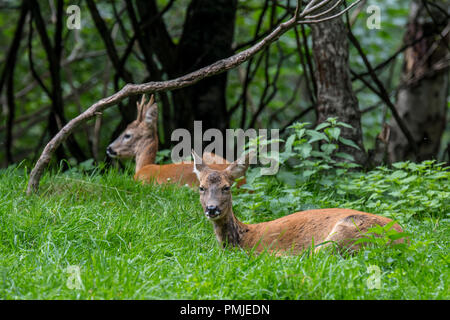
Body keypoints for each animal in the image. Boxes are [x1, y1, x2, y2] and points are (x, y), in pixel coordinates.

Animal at [192, 150, 404, 255]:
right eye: (201, 187)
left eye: (226, 187)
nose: (212, 208)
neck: (243, 237)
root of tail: (402, 240)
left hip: (349, 229)